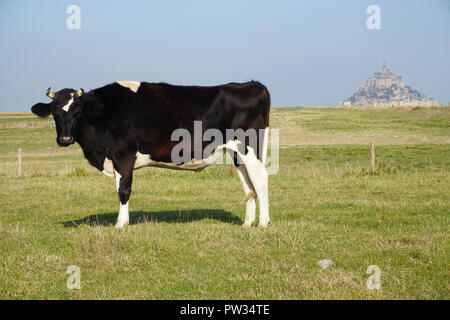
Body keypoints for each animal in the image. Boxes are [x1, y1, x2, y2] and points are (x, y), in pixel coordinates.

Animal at [32, 81, 270, 229]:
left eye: (78, 113)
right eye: (55, 114)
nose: (64, 139)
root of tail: (252, 84)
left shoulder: (123, 154)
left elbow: (123, 190)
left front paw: (121, 223)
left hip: (250, 147)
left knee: (260, 180)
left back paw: (264, 223)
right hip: (237, 153)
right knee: (248, 184)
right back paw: (247, 222)